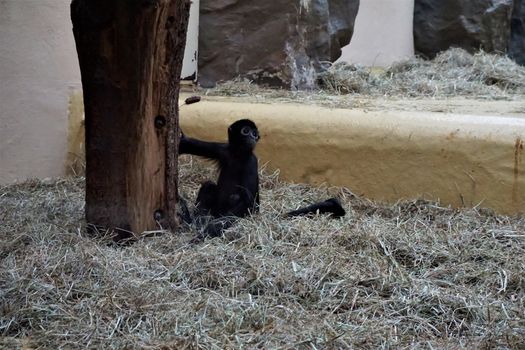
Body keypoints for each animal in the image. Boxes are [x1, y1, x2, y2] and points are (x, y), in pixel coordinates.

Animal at [178, 117, 346, 241]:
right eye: (246, 131)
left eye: (254, 132)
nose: (254, 136)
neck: (239, 154)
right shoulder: (224, 150)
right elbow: (187, 145)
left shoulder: (251, 161)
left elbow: (249, 201)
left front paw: (208, 230)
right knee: (208, 186)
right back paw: (195, 221)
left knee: (235, 196)